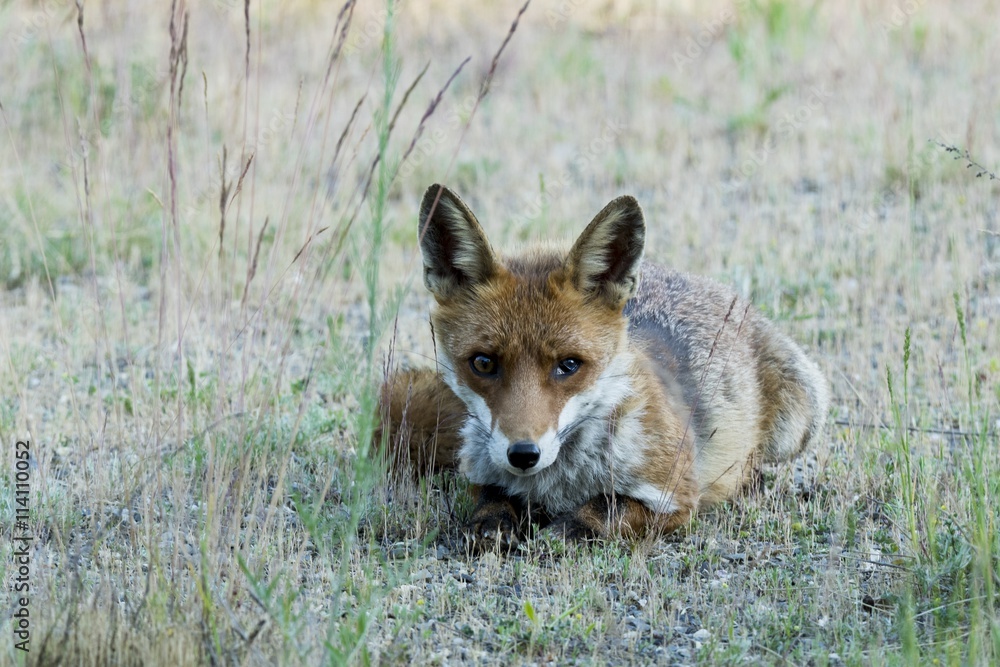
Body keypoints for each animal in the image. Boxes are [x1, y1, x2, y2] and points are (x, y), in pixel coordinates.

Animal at [378, 184, 829, 547]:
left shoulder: (677, 495)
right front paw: (495, 521)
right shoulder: (477, 470)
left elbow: (610, 507)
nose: (523, 454)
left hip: (797, 420)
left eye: (568, 365)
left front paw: (569, 527)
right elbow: (492, 499)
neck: (557, 485)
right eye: (484, 363)